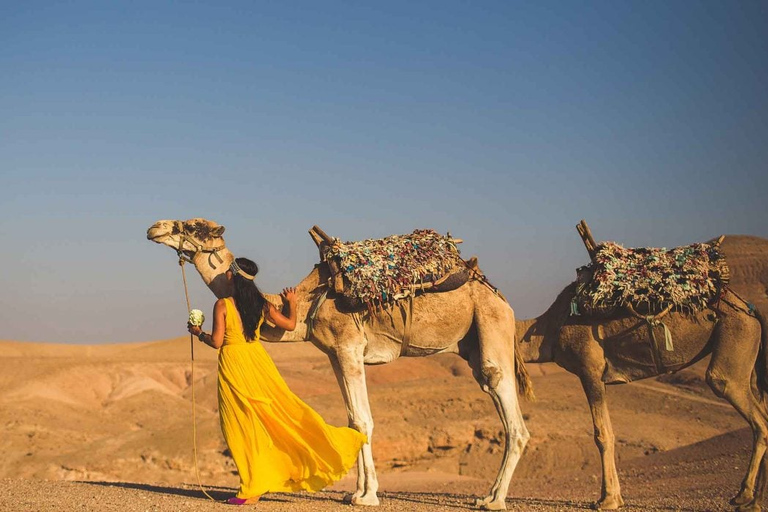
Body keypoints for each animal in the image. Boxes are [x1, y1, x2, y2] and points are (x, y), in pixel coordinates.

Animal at [148, 218, 536, 510]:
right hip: (472, 342)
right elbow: (353, 420)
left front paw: (368, 496)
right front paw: (356, 492)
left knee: (510, 412)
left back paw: (492, 500)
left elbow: (363, 420)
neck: (309, 302)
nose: (155, 227)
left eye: (194, 226)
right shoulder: (335, 354)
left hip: (490, 324)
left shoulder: (350, 347)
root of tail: (501, 297)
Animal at [512, 247, 768, 508]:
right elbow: (608, 431)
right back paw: (755, 499)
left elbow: (602, 434)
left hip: (737, 333)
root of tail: (750, 308)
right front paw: (614, 497)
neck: (549, 329)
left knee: (738, 398)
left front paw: (608, 500)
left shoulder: (589, 370)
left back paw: (745, 495)